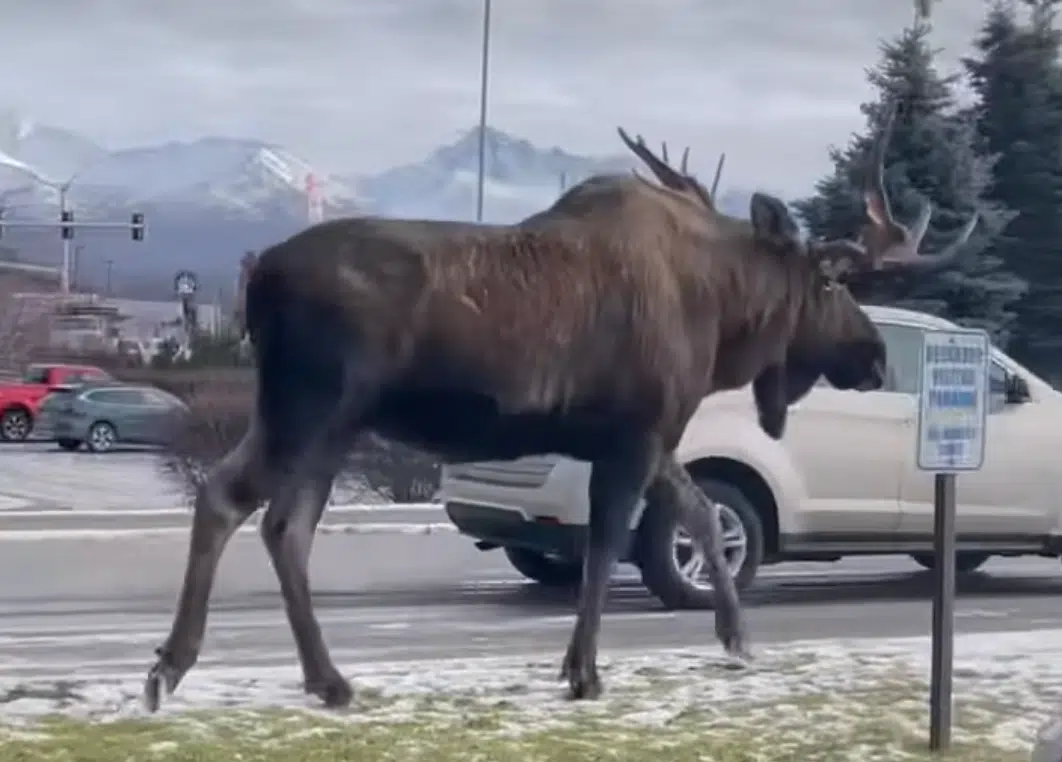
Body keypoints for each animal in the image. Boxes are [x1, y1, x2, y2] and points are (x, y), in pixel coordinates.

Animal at [143, 102, 977, 717]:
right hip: (314, 407)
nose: (874, 355)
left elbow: (702, 517)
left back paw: (288, 675)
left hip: (319, 418)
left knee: (263, 515)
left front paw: (736, 638)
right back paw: (207, 668)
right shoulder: (637, 431)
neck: (724, 316)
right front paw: (583, 670)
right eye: (833, 282)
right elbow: (610, 546)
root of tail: (257, 279)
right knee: (248, 507)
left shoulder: (650, 433)